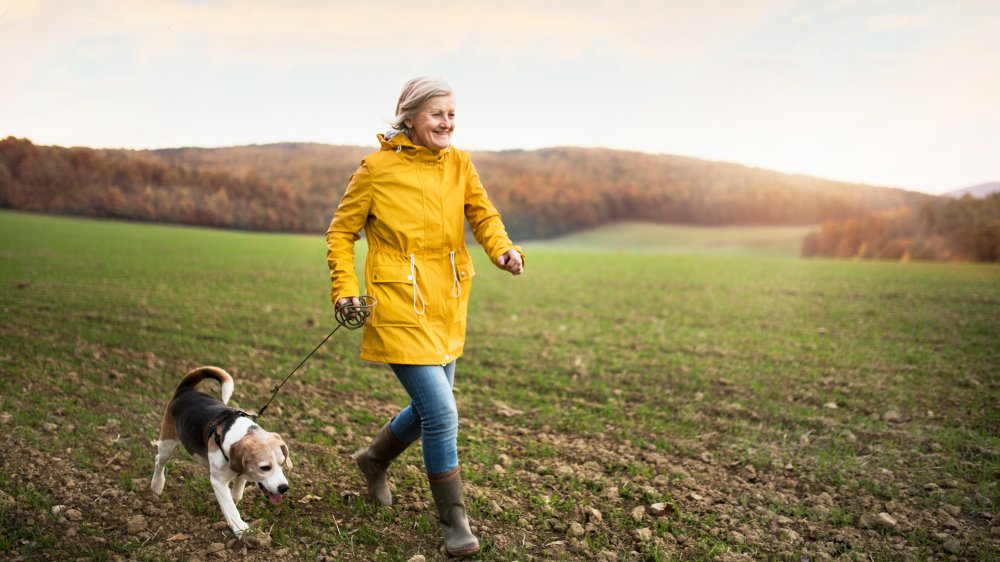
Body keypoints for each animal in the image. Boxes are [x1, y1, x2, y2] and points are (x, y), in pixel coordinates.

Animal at [148, 366, 292, 536]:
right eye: (265, 468)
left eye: (282, 463)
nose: (284, 488)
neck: (239, 434)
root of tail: (185, 389)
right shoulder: (218, 481)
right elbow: (230, 507)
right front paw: (241, 529)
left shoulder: (242, 474)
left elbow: (235, 496)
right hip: (168, 443)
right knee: (159, 461)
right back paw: (157, 485)